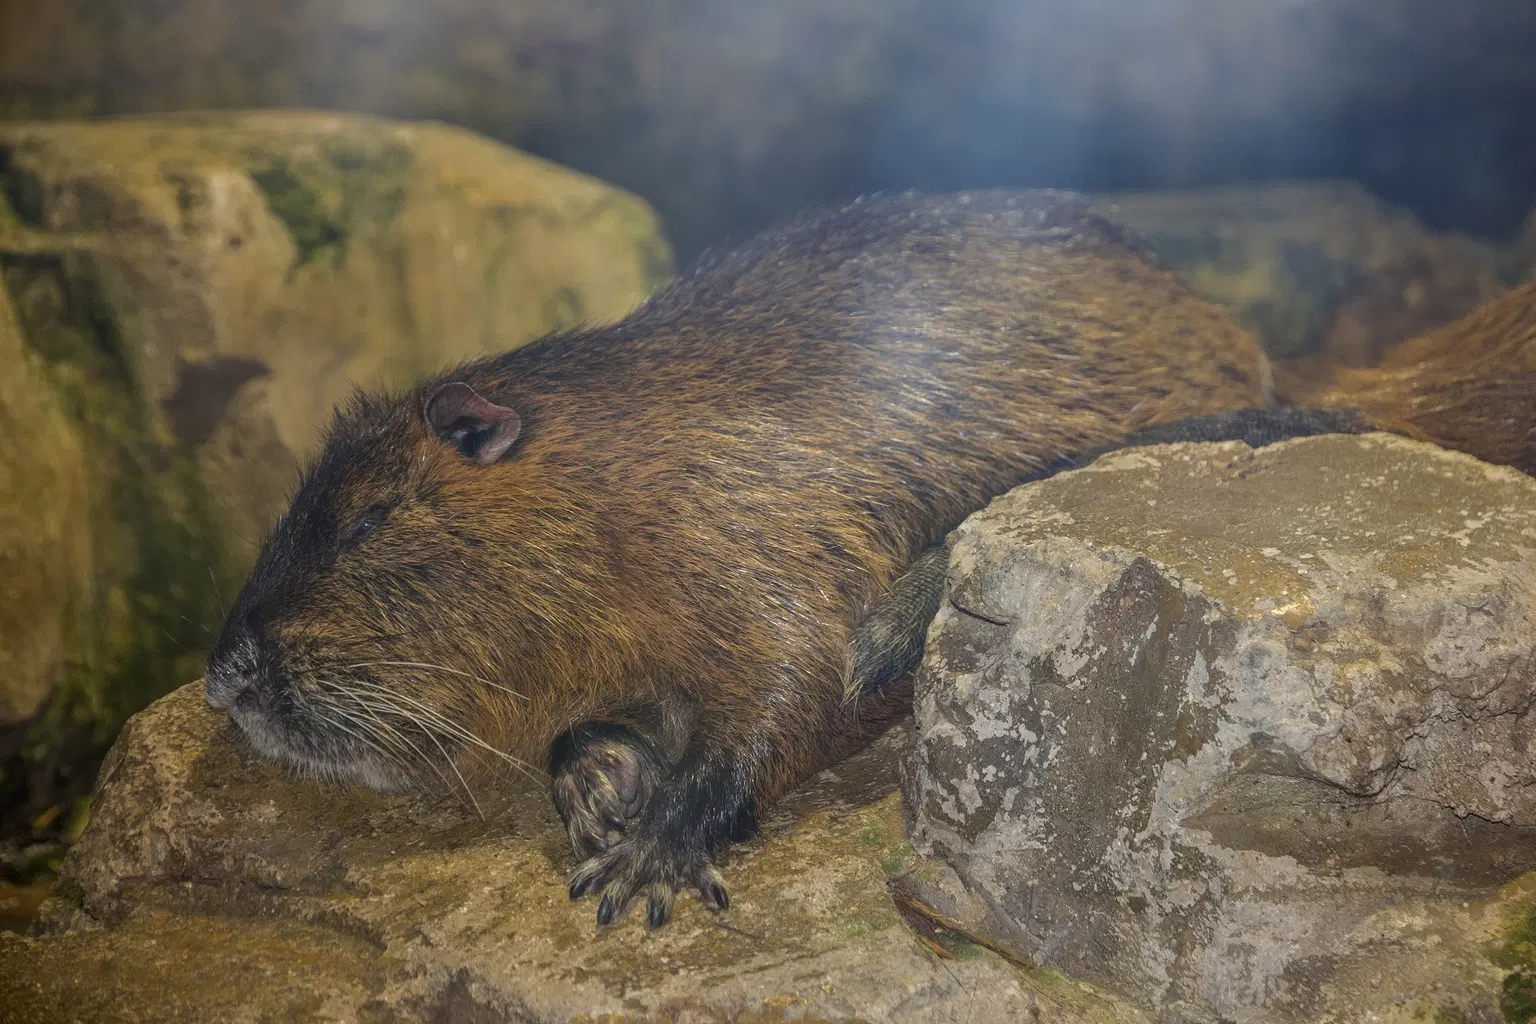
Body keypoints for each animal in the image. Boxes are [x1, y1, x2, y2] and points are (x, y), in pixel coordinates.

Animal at [203, 190, 1289, 930]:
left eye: (371, 517)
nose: (226, 673)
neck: (627, 453)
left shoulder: (767, 519)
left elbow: (805, 675)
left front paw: (646, 854)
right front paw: (594, 783)